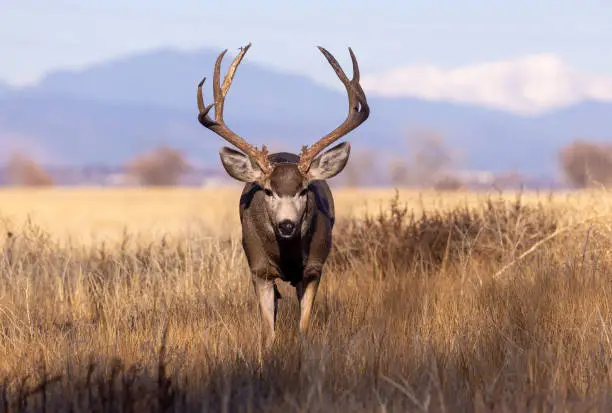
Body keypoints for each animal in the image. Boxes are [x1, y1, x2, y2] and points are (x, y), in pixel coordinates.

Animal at [196, 42, 368, 348]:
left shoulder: (314, 269)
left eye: (303, 190)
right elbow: (268, 332)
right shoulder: (259, 270)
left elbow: (304, 328)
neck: (287, 257)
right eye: (268, 190)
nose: (286, 224)